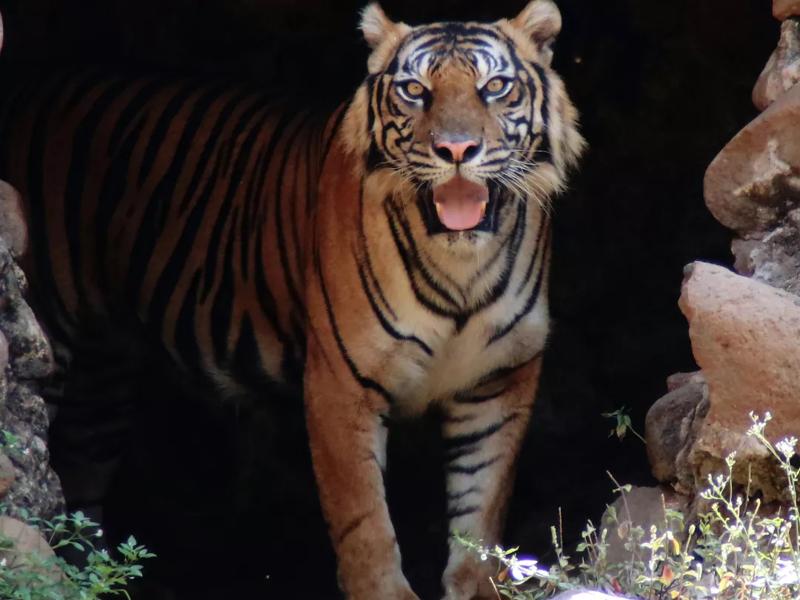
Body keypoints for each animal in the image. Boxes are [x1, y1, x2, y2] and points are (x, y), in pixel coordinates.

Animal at [0, 2, 580, 596]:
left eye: (495, 87)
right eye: (416, 90)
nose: (457, 150)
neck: (459, 265)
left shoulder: (499, 382)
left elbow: (481, 524)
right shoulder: (341, 386)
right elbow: (366, 526)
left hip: (103, 376)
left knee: (81, 483)